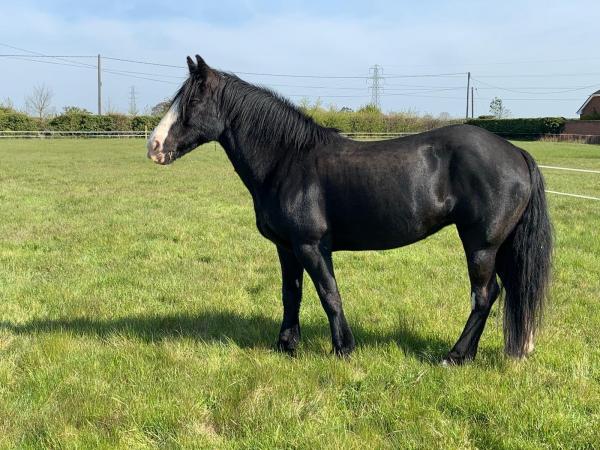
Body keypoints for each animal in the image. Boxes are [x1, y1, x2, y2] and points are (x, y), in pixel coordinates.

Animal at [148, 57, 552, 366]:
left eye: (192, 101)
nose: (153, 146)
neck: (286, 160)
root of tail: (516, 152)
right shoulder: (287, 247)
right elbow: (291, 294)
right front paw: (286, 346)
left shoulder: (312, 246)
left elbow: (329, 294)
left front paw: (343, 349)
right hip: (499, 246)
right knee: (506, 291)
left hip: (481, 244)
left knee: (484, 295)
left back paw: (454, 356)